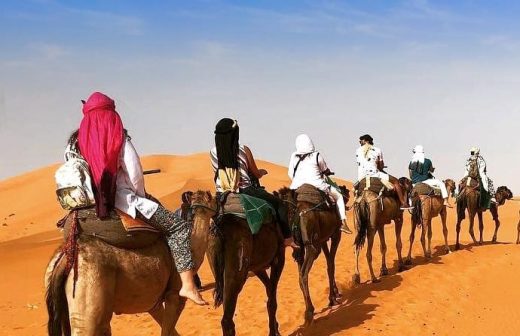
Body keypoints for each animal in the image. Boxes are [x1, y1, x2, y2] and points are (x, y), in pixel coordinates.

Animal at [276, 184, 350, 326]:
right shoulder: (335, 234)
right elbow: (331, 264)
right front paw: (332, 298)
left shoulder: (322, 240)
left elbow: (329, 262)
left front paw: (335, 294)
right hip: (311, 245)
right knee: (304, 273)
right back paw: (309, 312)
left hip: (300, 246)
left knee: (300, 275)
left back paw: (308, 311)